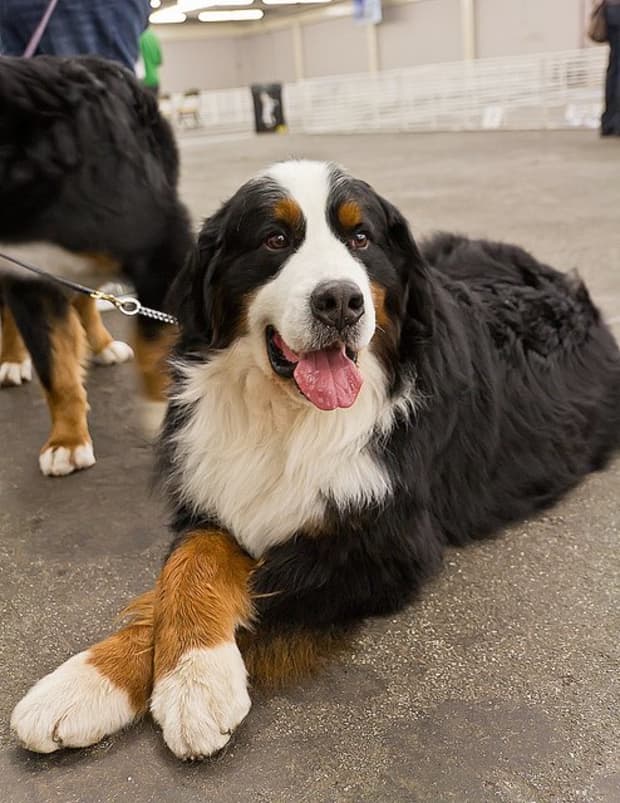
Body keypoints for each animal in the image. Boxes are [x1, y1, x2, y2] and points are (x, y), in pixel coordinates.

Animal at [0, 56, 191, 478]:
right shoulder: (27, 276)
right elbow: (55, 369)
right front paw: (66, 441)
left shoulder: (163, 245)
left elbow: (154, 341)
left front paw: (160, 411)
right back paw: (12, 360)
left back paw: (103, 346)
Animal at [9, 162, 620, 760]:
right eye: (275, 239)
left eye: (361, 238)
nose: (341, 302)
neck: (285, 417)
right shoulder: (214, 492)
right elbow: (185, 570)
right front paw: (86, 680)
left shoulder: (382, 547)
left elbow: (267, 586)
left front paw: (194, 682)